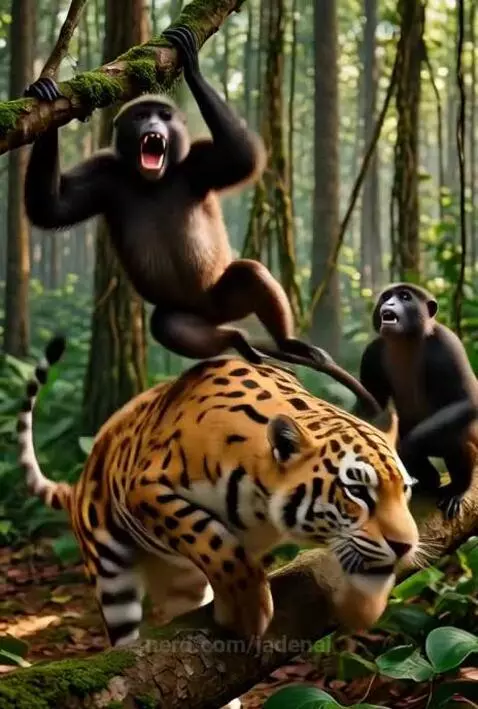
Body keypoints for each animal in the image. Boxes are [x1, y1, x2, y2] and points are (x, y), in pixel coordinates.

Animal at [18, 334, 447, 650]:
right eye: (357, 490)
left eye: (405, 491)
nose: (405, 546)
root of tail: (79, 482)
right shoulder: (146, 488)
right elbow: (211, 539)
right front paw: (247, 611)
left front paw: (365, 608)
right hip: (111, 579)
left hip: (182, 586)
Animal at [358, 281, 478, 520]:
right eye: (386, 296)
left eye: (405, 297)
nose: (389, 303)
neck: (406, 339)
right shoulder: (371, 352)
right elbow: (369, 411)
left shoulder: (447, 341)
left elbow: (468, 400)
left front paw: (405, 448)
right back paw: (429, 481)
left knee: (456, 434)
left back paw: (458, 488)